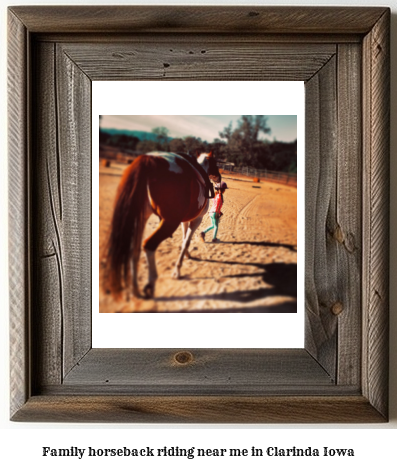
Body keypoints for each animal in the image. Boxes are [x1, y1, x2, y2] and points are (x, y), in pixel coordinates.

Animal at [103, 152, 221, 298]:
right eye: (215, 162)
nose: (219, 177)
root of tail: (147, 160)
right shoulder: (196, 219)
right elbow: (186, 241)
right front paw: (177, 271)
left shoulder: (185, 220)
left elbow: (184, 239)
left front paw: (187, 255)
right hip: (169, 222)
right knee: (148, 245)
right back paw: (150, 284)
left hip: (140, 218)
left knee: (133, 248)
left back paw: (135, 288)